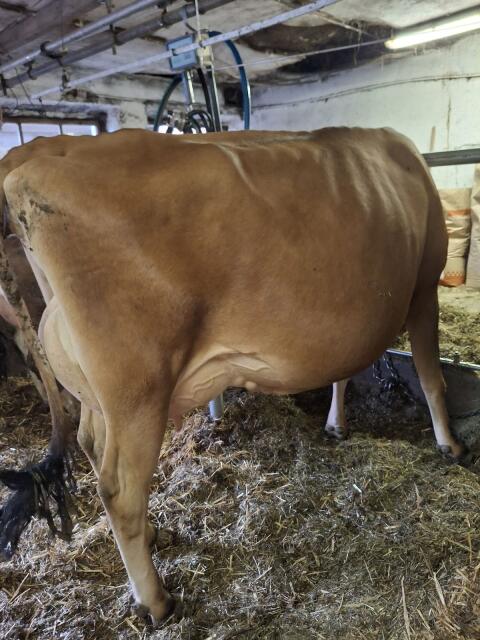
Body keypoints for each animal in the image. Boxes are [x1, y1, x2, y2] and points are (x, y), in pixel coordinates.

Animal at [0, 127, 463, 622]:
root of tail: (39, 150)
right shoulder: (425, 288)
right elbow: (432, 377)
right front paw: (450, 445)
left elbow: (344, 372)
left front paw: (336, 424)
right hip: (138, 389)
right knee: (119, 489)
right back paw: (156, 600)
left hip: (95, 388)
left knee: (90, 442)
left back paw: (153, 534)